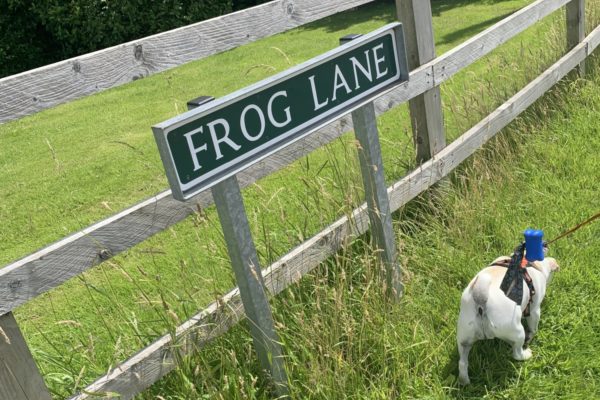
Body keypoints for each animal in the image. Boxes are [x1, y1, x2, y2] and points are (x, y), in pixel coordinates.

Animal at [458, 256, 560, 384]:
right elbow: (533, 327)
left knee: (462, 363)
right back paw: (526, 354)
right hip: (518, 333)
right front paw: (532, 334)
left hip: (464, 338)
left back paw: (464, 382)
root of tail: (480, 298)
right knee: (516, 353)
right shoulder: (534, 310)